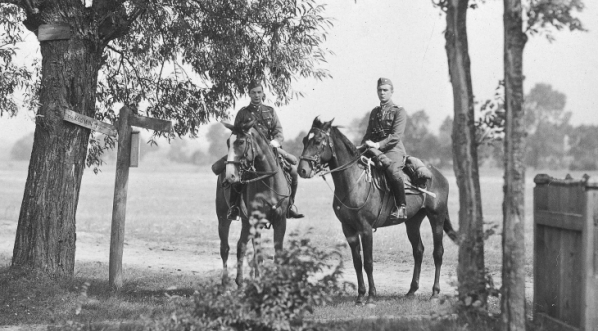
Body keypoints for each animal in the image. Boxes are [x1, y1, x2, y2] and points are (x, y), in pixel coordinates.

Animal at [217, 120, 292, 288]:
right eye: (227, 142)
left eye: (241, 141)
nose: (230, 176)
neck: (269, 182)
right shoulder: (255, 221)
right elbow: (256, 254)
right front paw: (257, 283)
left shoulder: (280, 221)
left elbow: (277, 253)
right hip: (223, 218)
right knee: (225, 248)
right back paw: (226, 282)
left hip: (247, 223)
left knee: (244, 246)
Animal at [296, 116, 460, 306]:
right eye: (304, 140)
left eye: (317, 141)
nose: (302, 170)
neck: (354, 183)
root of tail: (438, 174)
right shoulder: (349, 229)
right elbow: (357, 262)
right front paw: (360, 295)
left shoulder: (366, 229)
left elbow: (368, 262)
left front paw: (371, 297)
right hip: (412, 222)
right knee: (418, 251)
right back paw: (411, 291)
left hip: (436, 218)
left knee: (438, 253)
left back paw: (435, 293)